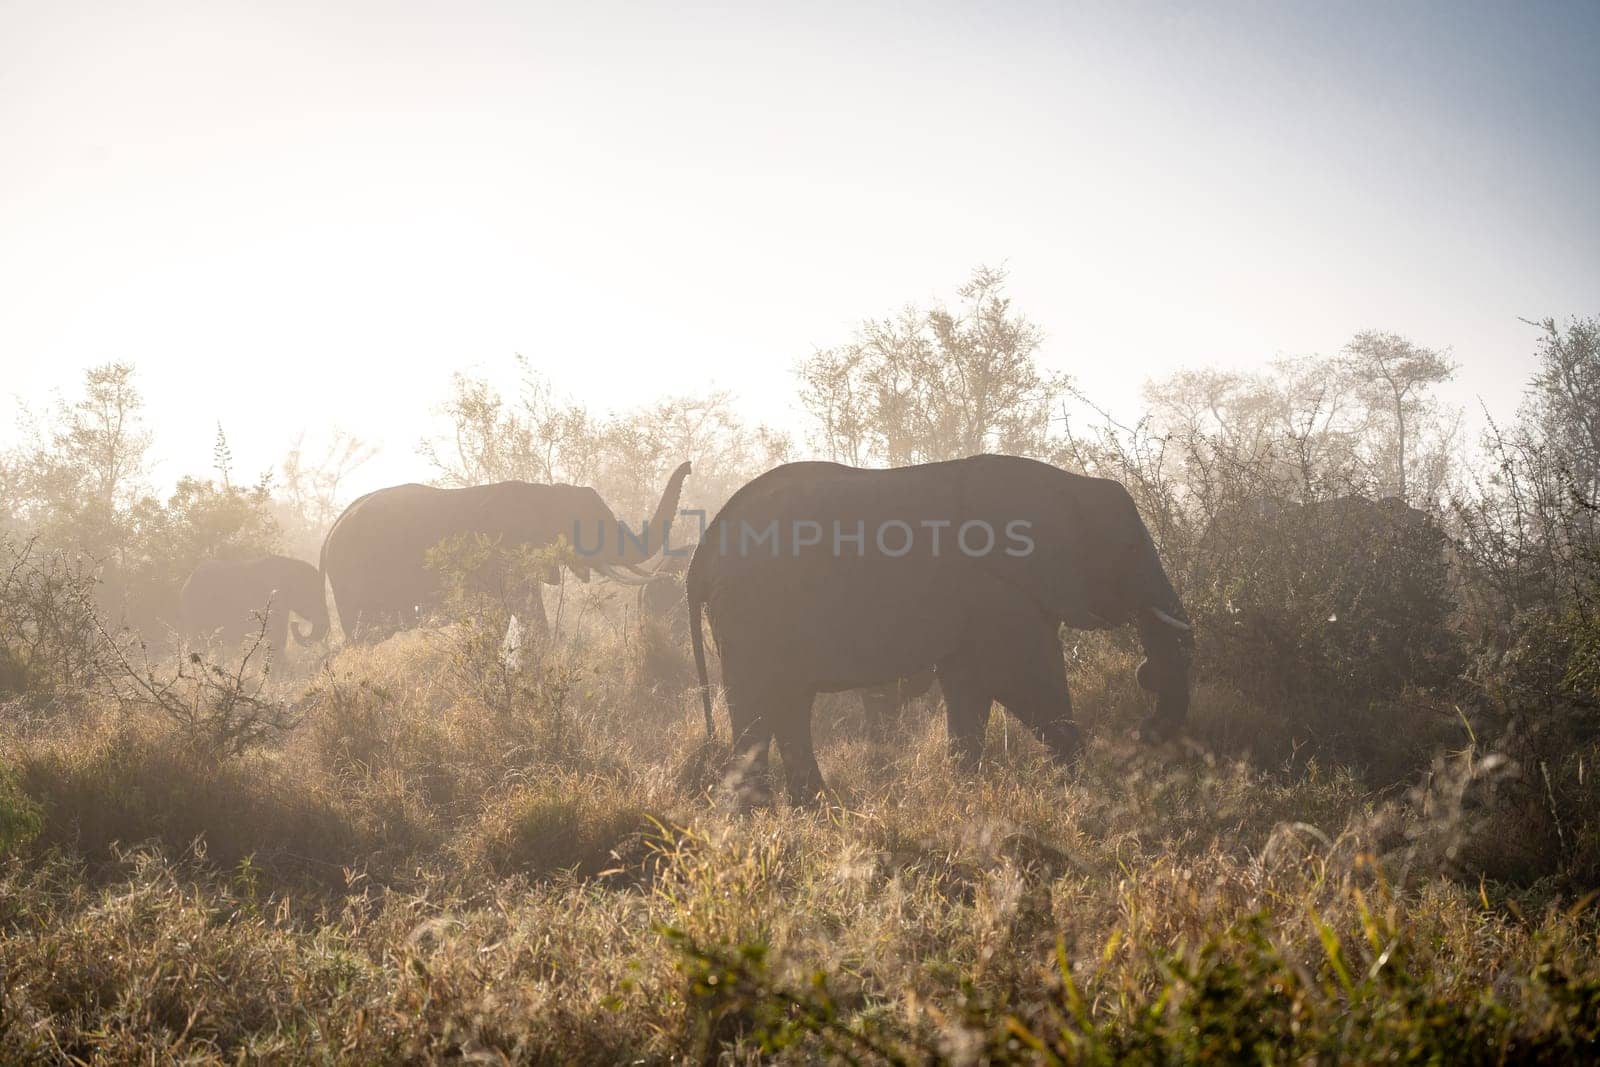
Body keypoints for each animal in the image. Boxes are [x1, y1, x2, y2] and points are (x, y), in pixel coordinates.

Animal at [321, 460, 691, 643]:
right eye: (591, 526)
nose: (688, 465)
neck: (544, 493)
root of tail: (328, 537)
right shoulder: (505, 554)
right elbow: (525, 613)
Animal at [681, 454, 1196, 806]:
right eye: (1130, 550)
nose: (1145, 730)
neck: (1067, 486)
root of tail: (699, 556)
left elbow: (970, 685)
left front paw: (965, 789)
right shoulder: (998, 587)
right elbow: (1023, 678)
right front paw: (1083, 786)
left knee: (789, 706)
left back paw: (814, 809)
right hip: (752, 614)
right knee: (758, 709)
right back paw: (760, 815)